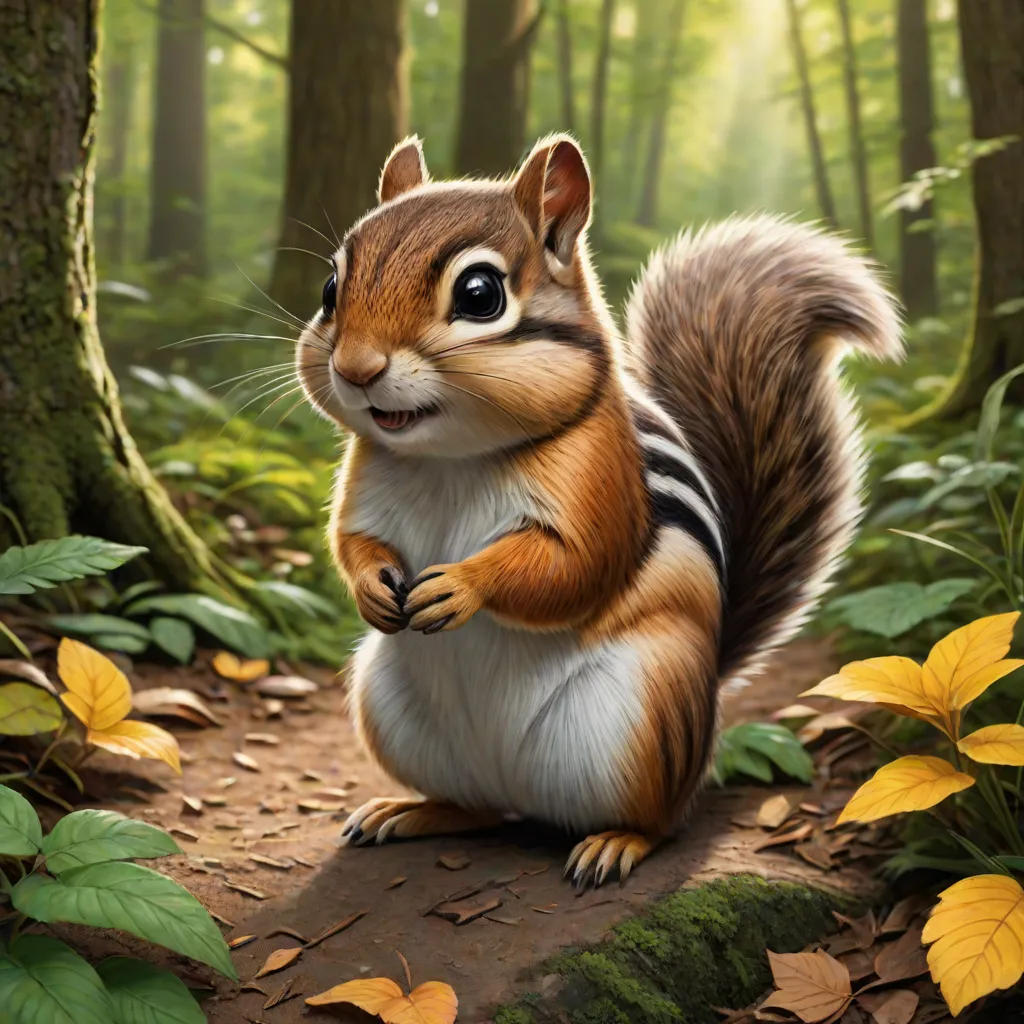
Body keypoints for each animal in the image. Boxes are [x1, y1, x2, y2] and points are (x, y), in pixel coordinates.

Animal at [296, 133, 902, 887]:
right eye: (330, 290)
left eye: (479, 294)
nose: (356, 369)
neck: (450, 458)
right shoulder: (365, 484)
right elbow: (352, 542)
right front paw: (372, 588)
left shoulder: (599, 483)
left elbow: (576, 566)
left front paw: (461, 584)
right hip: (392, 708)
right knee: (477, 808)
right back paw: (410, 811)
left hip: (645, 714)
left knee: (663, 820)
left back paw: (617, 843)